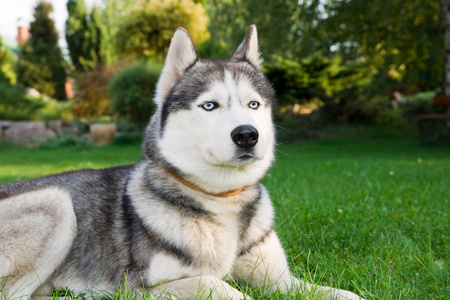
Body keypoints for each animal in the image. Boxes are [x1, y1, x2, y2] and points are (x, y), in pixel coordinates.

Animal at [0, 26, 360, 300]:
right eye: (209, 105)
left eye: (253, 104)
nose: (247, 135)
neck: (221, 200)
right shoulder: (142, 287)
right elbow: (222, 286)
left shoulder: (281, 279)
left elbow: (342, 293)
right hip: (56, 202)